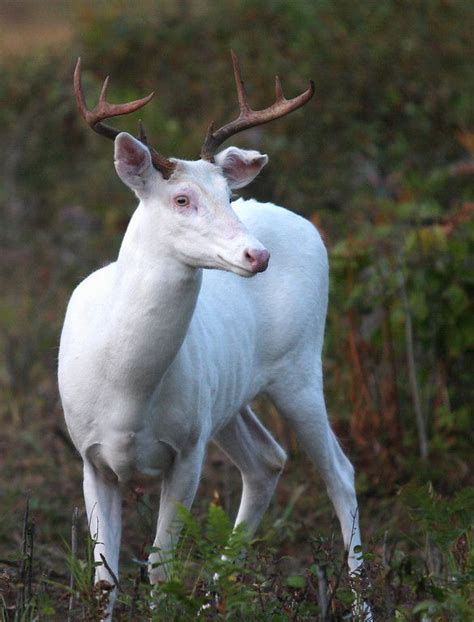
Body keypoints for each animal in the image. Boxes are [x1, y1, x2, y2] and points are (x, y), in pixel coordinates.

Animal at [59, 53, 368, 620]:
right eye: (181, 198)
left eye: (228, 194)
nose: (258, 254)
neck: (126, 390)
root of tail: (305, 225)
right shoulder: (91, 456)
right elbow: (104, 579)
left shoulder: (187, 450)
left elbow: (159, 568)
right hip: (228, 399)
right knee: (268, 460)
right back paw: (213, 600)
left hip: (299, 367)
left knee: (339, 472)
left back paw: (362, 604)